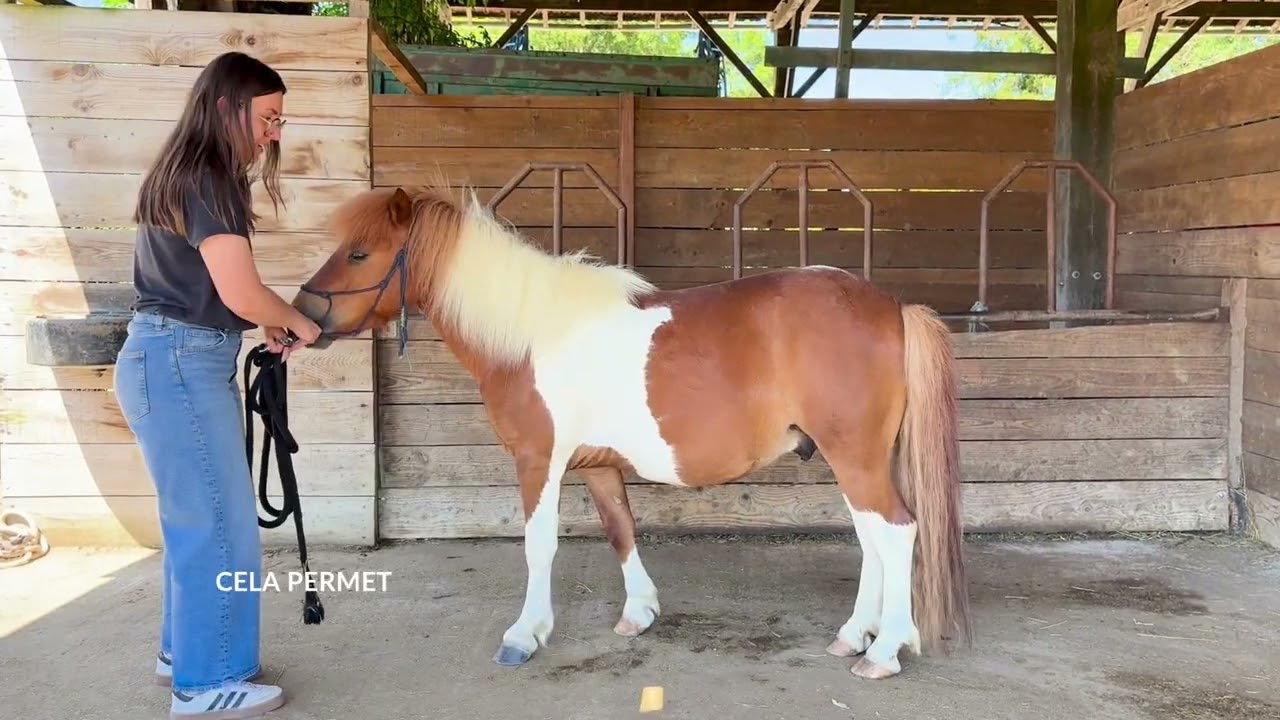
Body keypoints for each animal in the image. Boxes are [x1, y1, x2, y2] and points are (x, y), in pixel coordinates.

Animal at [290, 182, 972, 680]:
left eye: (359, 253)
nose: (303, 316)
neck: (531, 332)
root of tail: (890, 306)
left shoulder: (538, 460)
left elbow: (540, 546)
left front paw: (524, 634)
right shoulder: (597, 466)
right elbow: (621, 530)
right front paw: (639, 613)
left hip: (854, 456)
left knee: (896, 532)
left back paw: (883, 652)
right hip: (850, 457)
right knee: (873, 539)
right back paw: (856, 636)